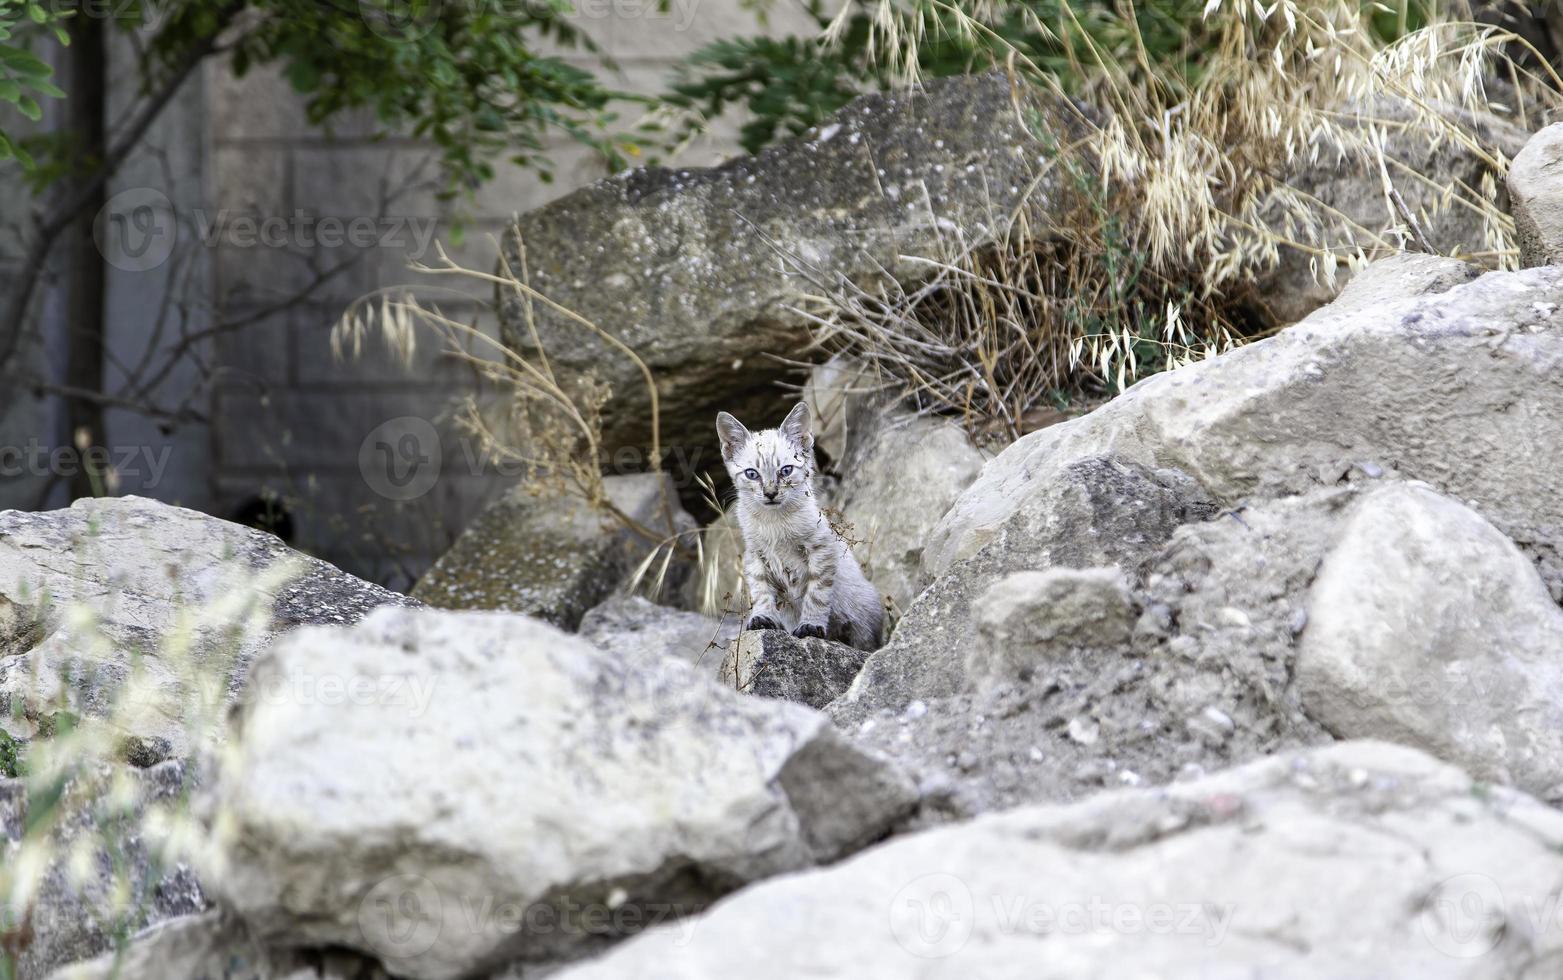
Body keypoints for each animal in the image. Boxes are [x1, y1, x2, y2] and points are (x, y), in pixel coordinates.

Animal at [715, 403, 887, 647]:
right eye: (752, 474)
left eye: (786, 470)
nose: (770, 493)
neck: (773, 520)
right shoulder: (755, 554)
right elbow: (760, 590)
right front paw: (762, 617)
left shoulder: (820, 550)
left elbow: (816, 593)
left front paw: (810, 625)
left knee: (865, 642)